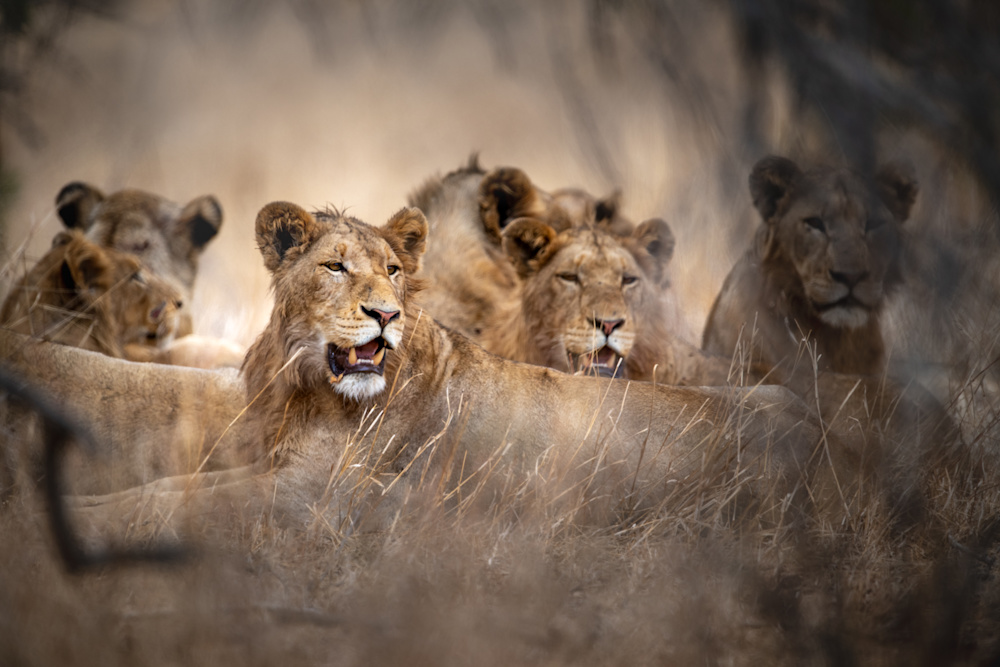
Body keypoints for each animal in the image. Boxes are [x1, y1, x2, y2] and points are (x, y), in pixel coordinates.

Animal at [62, 201, 842, 548]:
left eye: (394, 271)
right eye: (335, 266)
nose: (383, 313)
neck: (303, 386)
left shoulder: (321, 499)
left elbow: (183, 501)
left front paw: (80, 517)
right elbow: (172, 482)